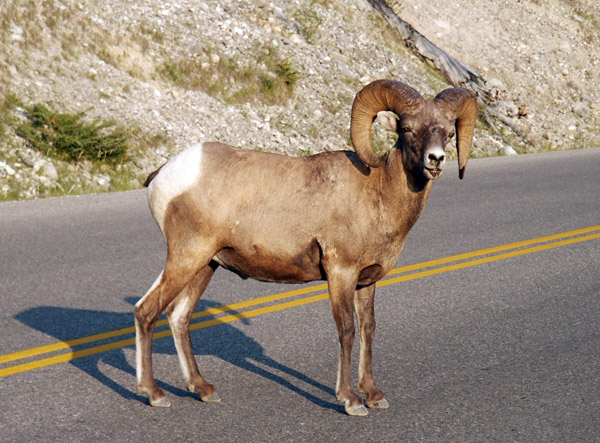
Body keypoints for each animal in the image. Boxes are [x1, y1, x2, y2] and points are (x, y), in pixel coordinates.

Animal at [136, 80, 478, 416]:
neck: (377, 193)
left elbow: (368, 328)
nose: (436, 160)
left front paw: (374, 395)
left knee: (178, 315)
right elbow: (346, 330)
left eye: (449, 133)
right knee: (146, 311)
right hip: (186, 257)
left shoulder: (366, 281)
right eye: (407, 128)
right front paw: (351, 400)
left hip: (205, 264)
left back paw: (203, 389)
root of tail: (163, 174)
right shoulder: (340, 273)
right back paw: (154, 394)